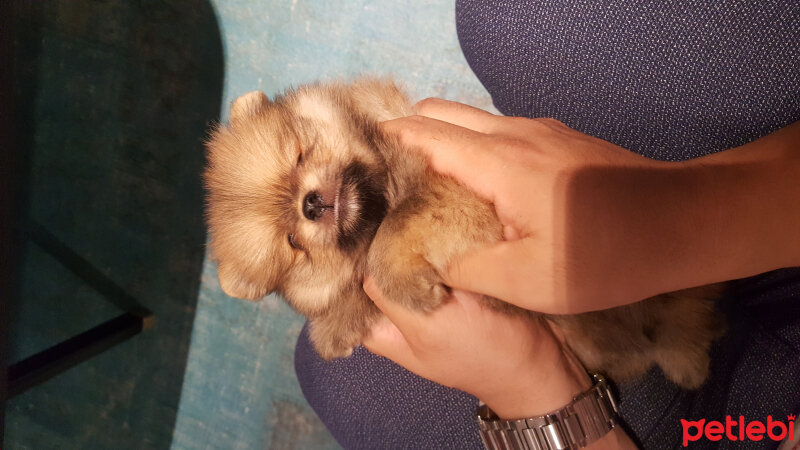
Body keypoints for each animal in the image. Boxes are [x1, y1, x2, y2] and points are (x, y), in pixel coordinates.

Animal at [202, 79, 724, 388]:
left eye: (299, 155)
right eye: (292, 243)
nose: (310, 204)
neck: (380, 195)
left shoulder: (451, 192)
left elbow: (391, 236)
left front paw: (407, 287)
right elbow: (354, 289)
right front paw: (337, 328)